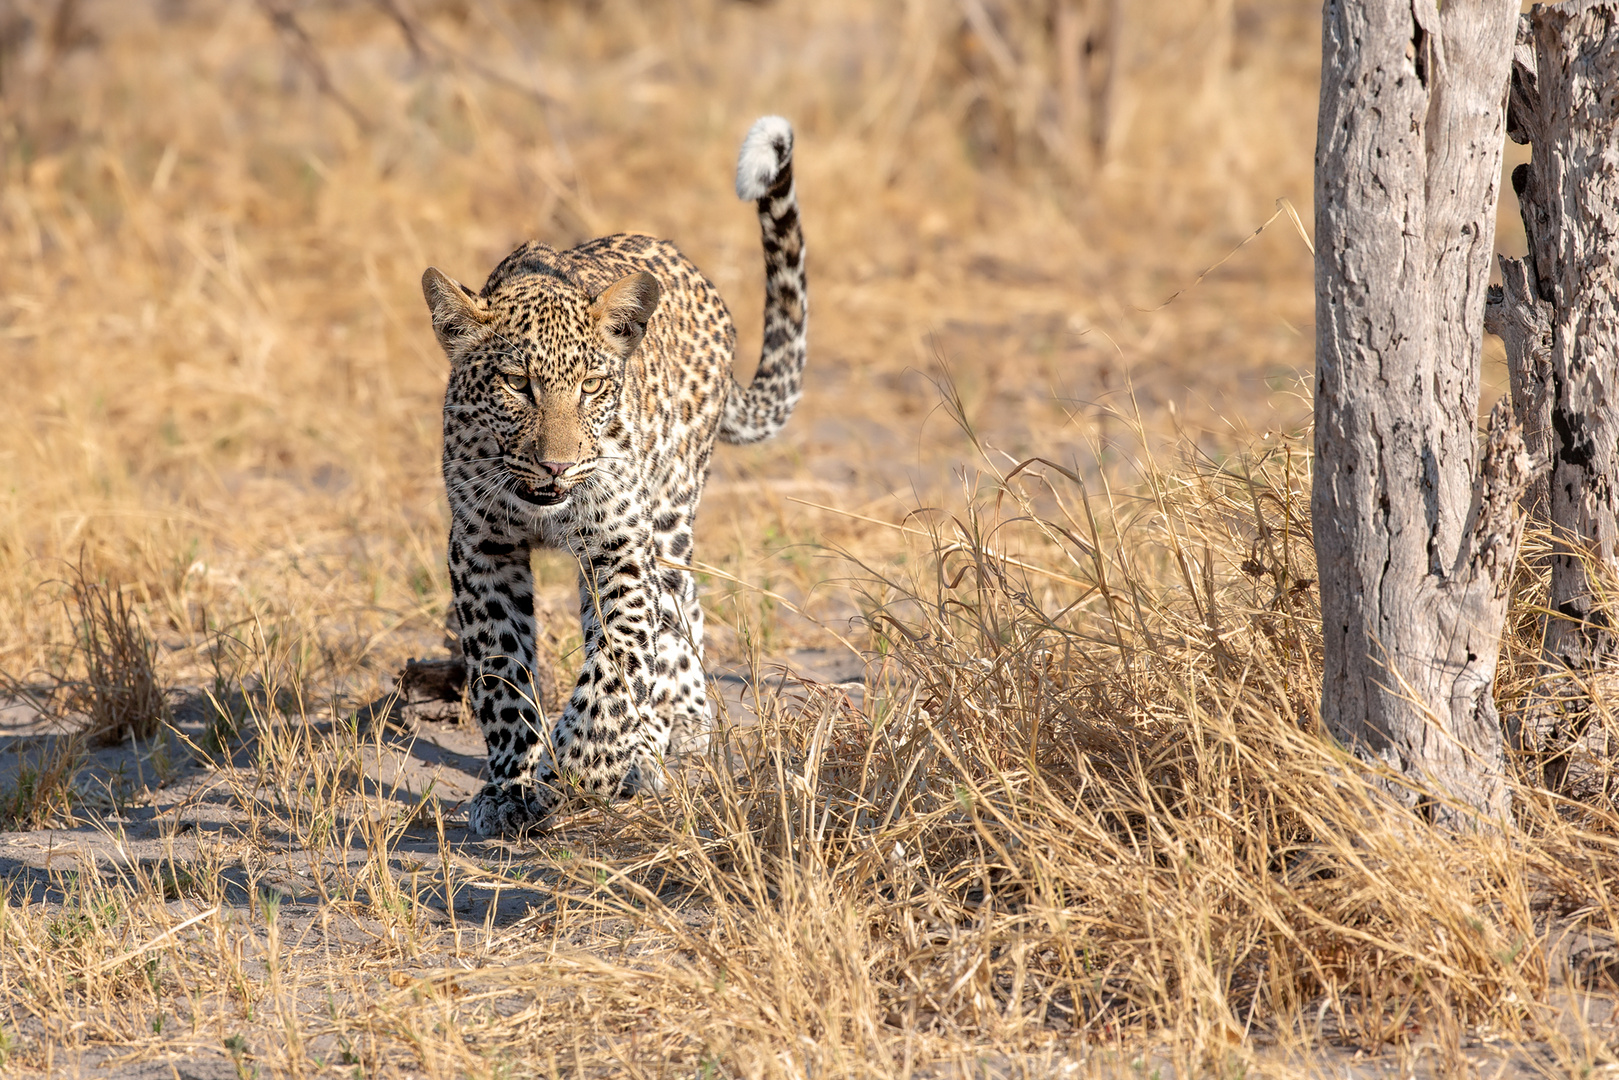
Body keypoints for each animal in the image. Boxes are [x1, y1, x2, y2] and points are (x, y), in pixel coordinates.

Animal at [420, 116, 806, 835]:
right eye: (516, 384)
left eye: (593, 386)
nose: (557, 464)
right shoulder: (482, 546)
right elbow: (498, 671)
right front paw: (510, 786)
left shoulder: (618, 546)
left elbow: (620, 661)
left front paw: (581, 764)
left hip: (670, 513)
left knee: (674, 614)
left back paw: (665, 734)